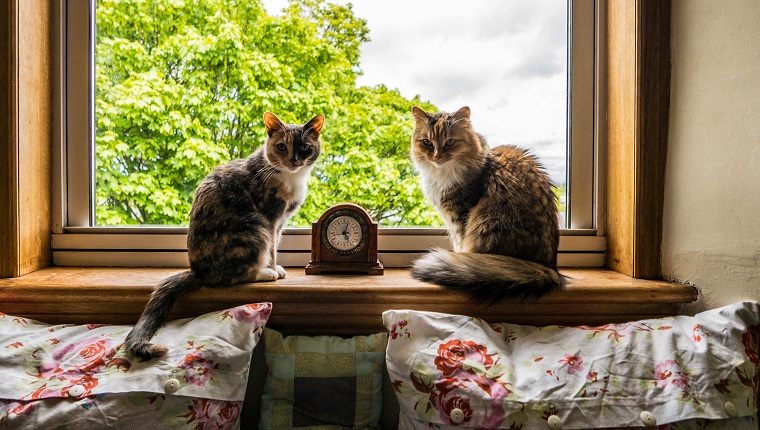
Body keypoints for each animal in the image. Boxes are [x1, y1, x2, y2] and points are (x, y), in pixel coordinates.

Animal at [126, 111, 322, 360]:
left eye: (305, 147)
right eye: (281, 146)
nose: (294, 160)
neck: (290, 178)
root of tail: (197, 271)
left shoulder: (280, 222)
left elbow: (276, 244)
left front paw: (275, 266)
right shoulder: (270, 217)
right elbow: (272, 249)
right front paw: (274, 268)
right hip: (253, 226)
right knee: (229, 277)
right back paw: (265, 273)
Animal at [410, 106, 564, 302]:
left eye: (450, 142)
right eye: (427, 142)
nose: (437, 157)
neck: (442, 174)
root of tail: (550, 268)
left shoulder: (459, 216)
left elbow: (459, 245)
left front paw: (458, 258)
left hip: (489, 224)